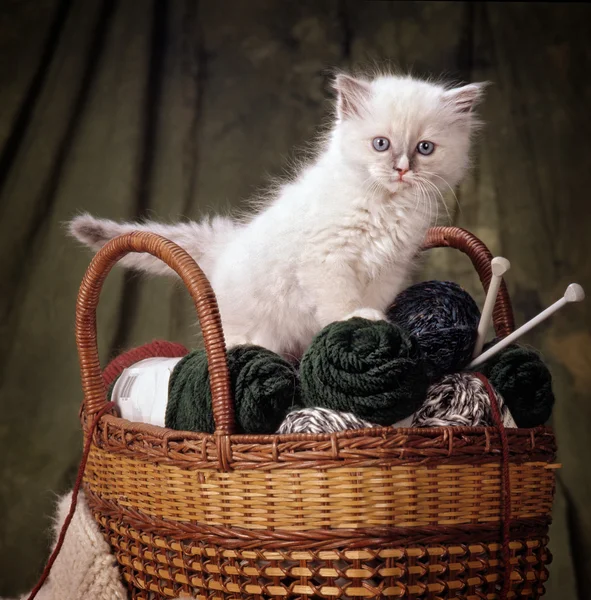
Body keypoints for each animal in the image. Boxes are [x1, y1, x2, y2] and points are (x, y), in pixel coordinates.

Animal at [69, 72, 486, 358]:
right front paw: (359, 320)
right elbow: (341, 303)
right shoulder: (327, 258)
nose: (402, 169)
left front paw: (380, 321)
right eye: (381, 144)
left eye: (425, 148)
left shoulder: (390, 268)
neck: (386, 204)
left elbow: (375, 299)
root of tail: (226, 245)